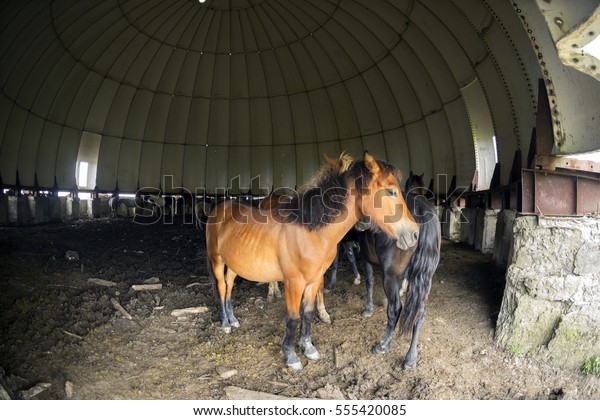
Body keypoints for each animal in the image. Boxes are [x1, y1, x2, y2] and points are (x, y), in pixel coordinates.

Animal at [205, 153, 418, 370]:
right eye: (391, 191)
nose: (414, 233)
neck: (309, 233)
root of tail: (221, 208)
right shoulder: (294, 283)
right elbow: (292, 318)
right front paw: (291, 356)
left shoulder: (314, 280)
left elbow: (307, 313)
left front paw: (308, 347)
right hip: (216, 260)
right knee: (221, 287)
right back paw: (225, 323)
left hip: (234, 264)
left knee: (229, 286)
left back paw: (233, 319)